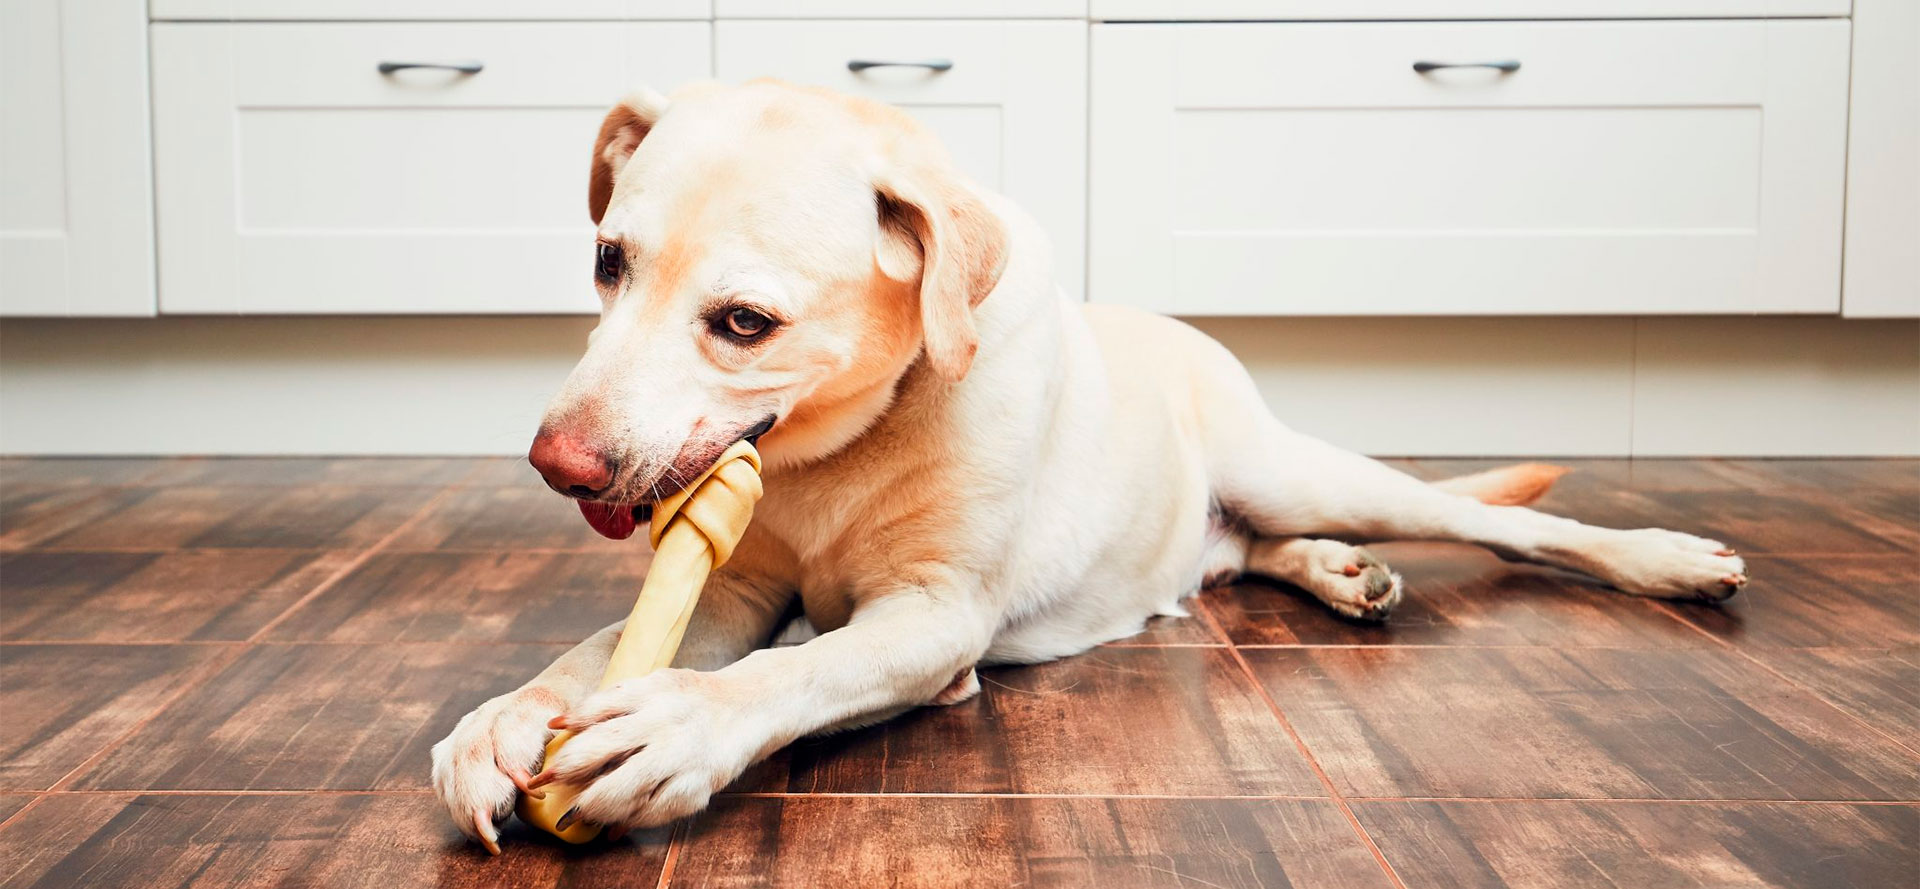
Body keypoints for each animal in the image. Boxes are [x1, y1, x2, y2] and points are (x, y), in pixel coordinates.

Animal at [428, 80, 1751, 852]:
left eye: (744, 322)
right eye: (608, 263)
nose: (554, 463)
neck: (839, 447)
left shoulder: (936, 618)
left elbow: (792, 671)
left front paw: (676, 727)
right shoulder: (734, 582)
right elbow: (599, 648)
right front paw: (507, 716)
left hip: (1304, 467)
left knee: (1503, 524)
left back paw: (1666, 558)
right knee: (1251, 552)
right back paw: (1338, 574)